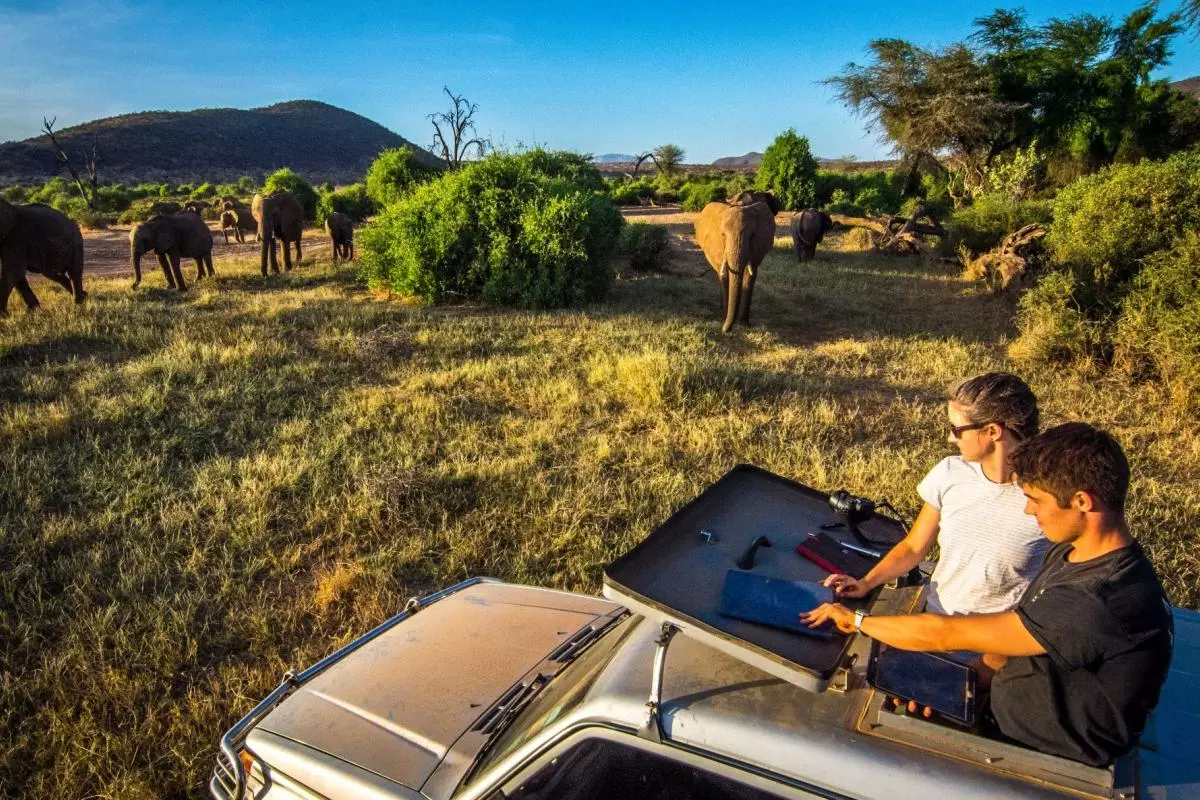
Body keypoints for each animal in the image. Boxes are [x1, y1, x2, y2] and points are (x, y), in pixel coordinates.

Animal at [694, 197, 778, 332]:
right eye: (723, 235)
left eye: (752, 236)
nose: (724, 329)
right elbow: (725, 276)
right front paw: (725, 317)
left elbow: (750, 275)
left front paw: (744, 324)